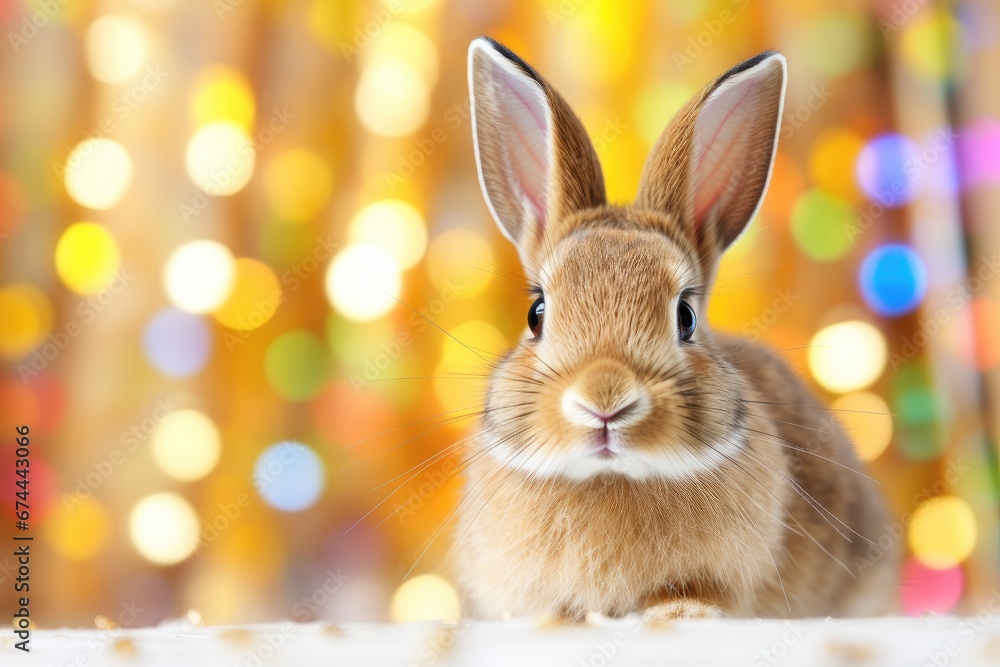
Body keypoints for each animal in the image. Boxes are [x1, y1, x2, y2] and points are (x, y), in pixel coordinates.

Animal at [452, 36, 899, 621]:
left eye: (685, 317)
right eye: (537, 314)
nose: (605, 401)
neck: (612, 476)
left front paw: (680, 615)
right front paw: (557, 620)